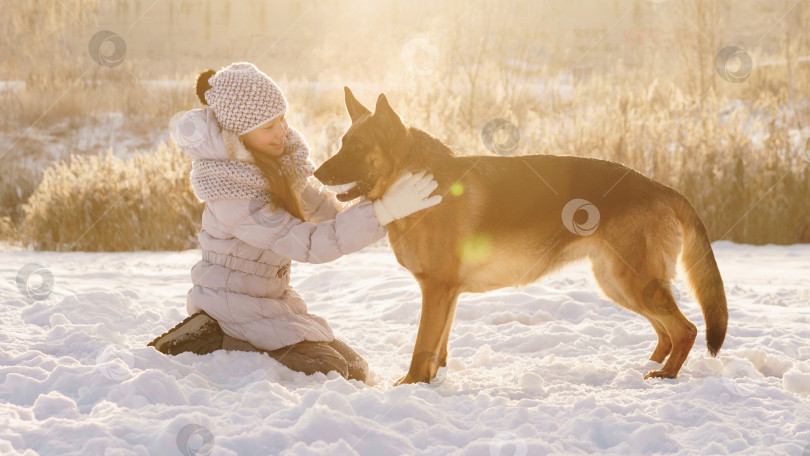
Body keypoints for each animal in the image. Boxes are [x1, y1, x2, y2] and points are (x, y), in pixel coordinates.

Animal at [314, 88, 724, 384]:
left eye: (356, 147)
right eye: (343, 143)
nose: (316, 173)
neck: (413, 180)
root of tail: (661, 187)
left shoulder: (437, 289)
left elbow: (422, 347)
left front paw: (411, 385)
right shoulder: (448, 294)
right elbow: (439, 346)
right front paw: (433, 380)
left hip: (633, 281)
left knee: (686, 329)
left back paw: (666, 374)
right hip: (617, 282)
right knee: (667, 332)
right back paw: (649, 365)